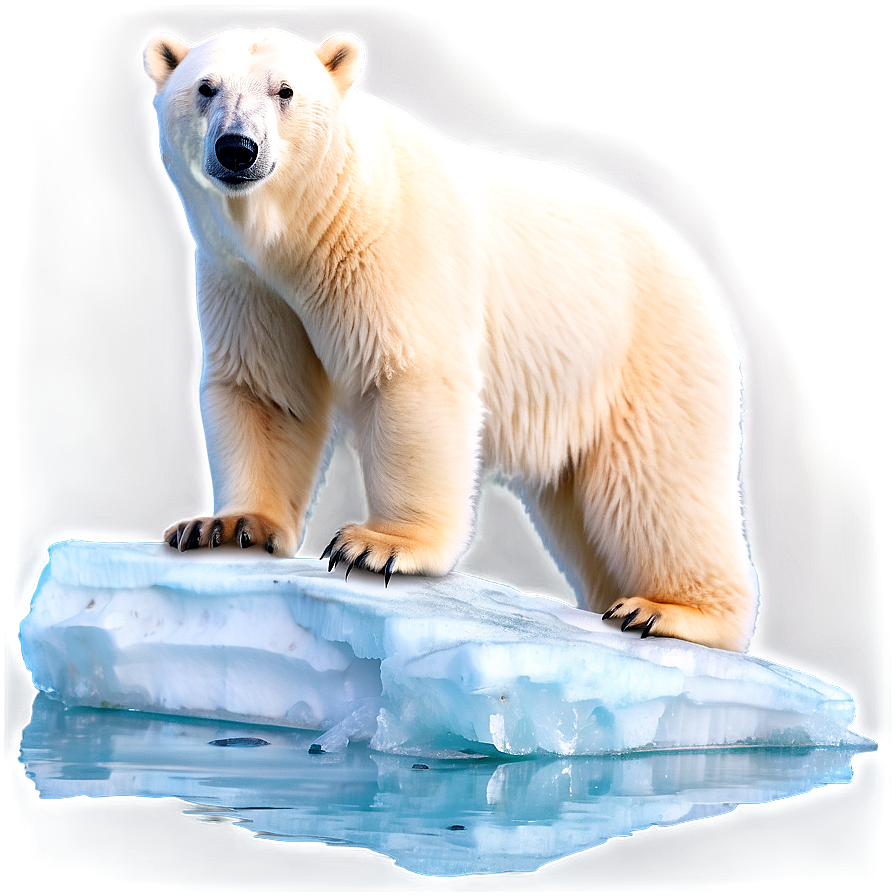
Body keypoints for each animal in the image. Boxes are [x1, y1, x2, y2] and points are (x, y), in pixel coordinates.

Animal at [143, 28, 759, 651]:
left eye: (285, 90)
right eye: (205, 87)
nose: (237, 148)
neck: (307, 229)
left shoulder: (389, 242)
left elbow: (408, 375)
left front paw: (379, 546)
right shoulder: (248, 280)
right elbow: (265, 391)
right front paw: (225, 526)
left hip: (650, 349)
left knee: (655, 484)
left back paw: (667, 611)